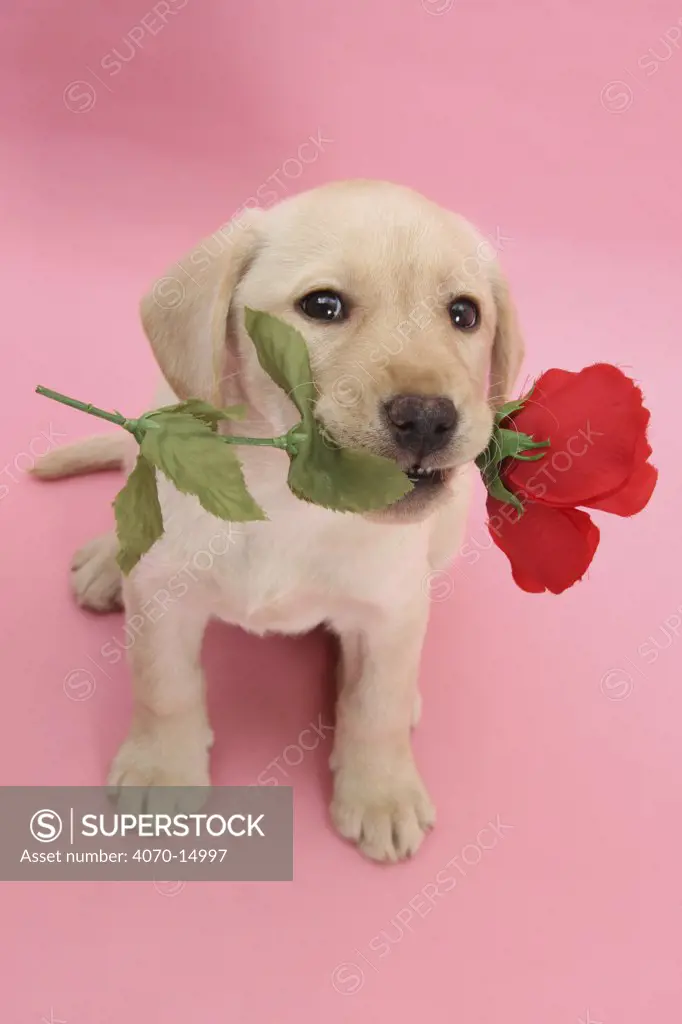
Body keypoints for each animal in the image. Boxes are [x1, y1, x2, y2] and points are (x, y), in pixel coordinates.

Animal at [34, 180, 522, 860]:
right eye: (323, 305)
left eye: (464, 315)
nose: (428, 418)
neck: (292, 500)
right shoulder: (163, 597)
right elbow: (164, 687)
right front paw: (163, 769)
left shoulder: (392, 610)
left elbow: (377, 703)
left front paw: (381, 792)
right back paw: (109, 561)